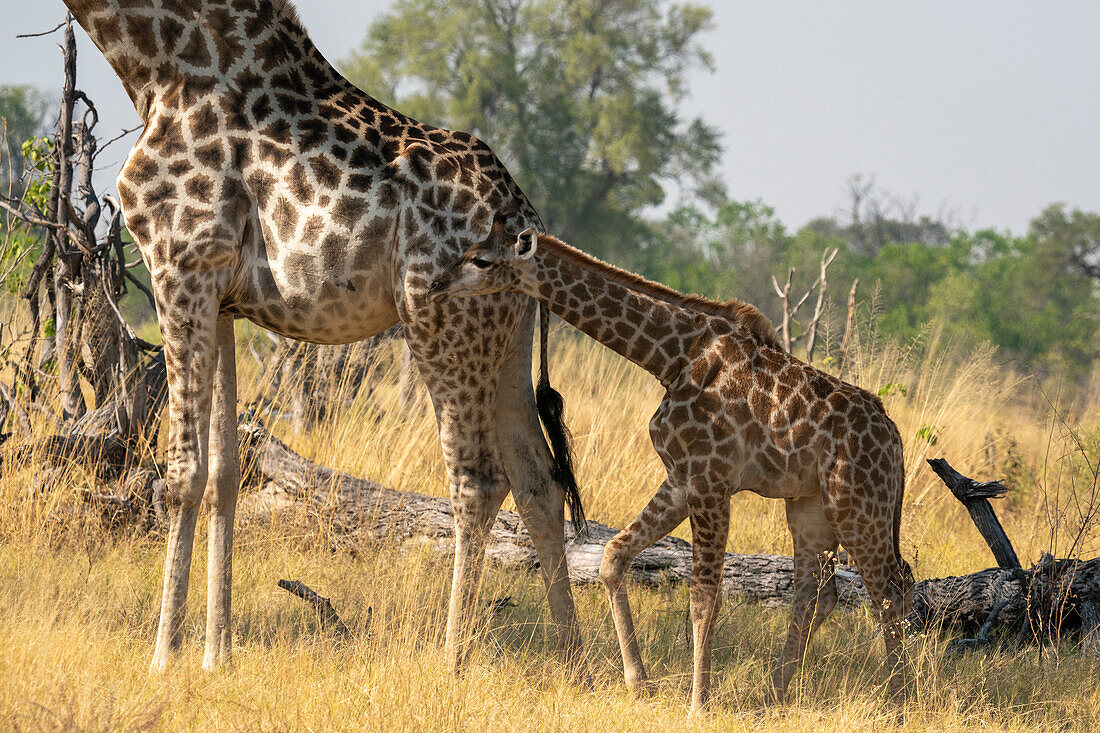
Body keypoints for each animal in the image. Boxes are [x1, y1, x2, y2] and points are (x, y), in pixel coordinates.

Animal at [61, 0, 589, 669]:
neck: (157, 69)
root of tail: (527, 219)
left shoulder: (180, 264)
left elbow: (183, 471)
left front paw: (164, 659)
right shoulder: (223, 298)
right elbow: (225, 472)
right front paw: (217, 658)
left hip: (442, 324)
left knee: (479, 478)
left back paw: (452, 660)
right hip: (506, 339)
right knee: (539, 479)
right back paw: (574, 657)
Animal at [433, 222, 915, 708]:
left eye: (481, 260)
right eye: (470, 249)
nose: (436, 285)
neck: (672, 356)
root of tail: (896, 443)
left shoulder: (711, 479)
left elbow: (704, 597)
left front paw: (698, 705)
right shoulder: (682, 478)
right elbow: (613, 556)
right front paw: (638, 681)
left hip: (856, 506)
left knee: (891, 592)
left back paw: (899, 703)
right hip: (810, 509)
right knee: (819, 594)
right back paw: (772, 699)